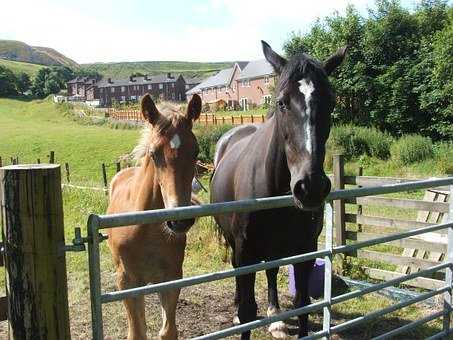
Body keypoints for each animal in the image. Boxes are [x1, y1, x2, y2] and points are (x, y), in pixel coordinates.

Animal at [107, 93, 200, 340]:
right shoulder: (127, 281)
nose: (180, 220)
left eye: (196, 151)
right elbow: (137, 332)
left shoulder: (171, 277)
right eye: (154, 153)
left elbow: (168, 331)